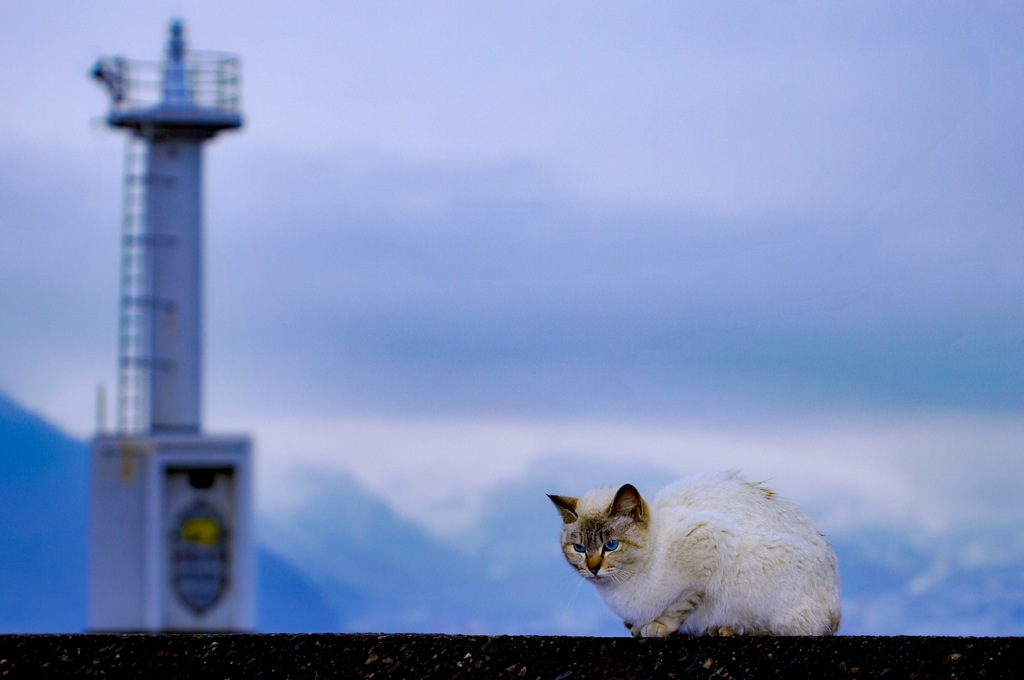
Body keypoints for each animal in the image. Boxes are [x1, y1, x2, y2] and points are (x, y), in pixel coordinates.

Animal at [548, 473, 843, 639]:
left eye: (611, 545)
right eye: (579, 548)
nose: (593, 568)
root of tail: (836, 615)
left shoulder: (709, 543)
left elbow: (680, 604)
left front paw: (656, 628)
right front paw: (639, 627)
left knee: (793, 630)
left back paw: (729, 629)